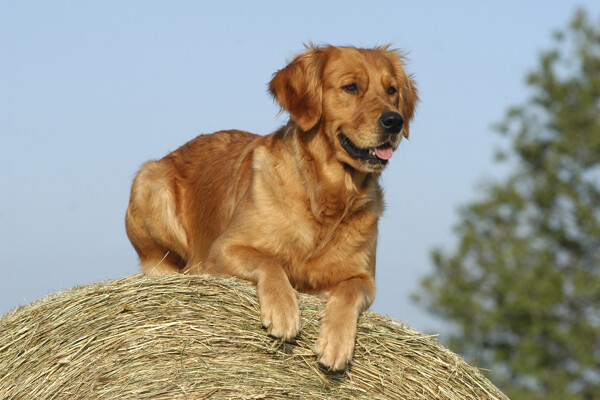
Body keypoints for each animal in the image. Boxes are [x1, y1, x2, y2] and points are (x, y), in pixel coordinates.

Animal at [125, 45, 418, 370]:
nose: (395, 121)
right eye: (351, 87)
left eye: (392, 91)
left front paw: (336, 341)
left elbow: (348, 290)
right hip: (150, 183)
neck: (327, 196)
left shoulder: (363, 277)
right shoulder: (223, 249)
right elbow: (269, 262)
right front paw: (283, 310)